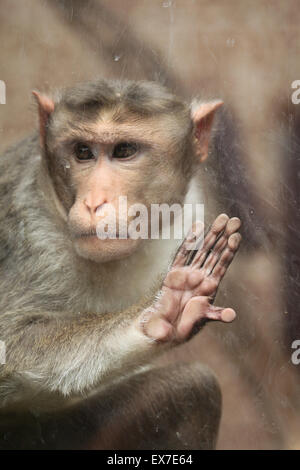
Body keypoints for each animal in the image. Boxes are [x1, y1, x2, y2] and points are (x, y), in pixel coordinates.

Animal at [0, 79, 241, 450]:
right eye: (82, 152)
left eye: (124, 151)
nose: (94, 202)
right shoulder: (30, 234)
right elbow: (9, 341)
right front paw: (162, 311)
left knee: (194, 390)